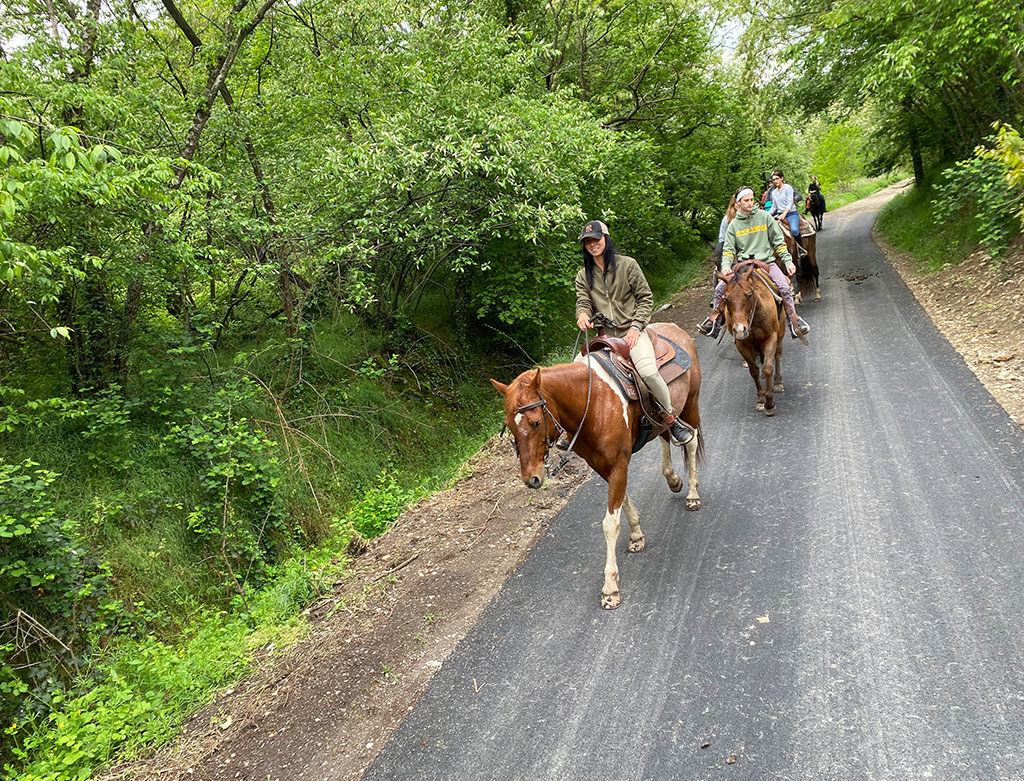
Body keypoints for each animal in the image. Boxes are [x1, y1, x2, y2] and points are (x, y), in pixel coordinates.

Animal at [489, 321, 700, 610]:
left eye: (535, 422)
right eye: (510, 426)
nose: (531, 478)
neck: (593, 403)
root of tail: (674, 328)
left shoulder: (619, 464)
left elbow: (610, 523)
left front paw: (610, 587)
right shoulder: (602, 466)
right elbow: (624, 500)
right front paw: (636, 535)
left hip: (690, 403)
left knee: (691, 440)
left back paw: (693, 494)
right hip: (663, 418)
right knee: (666, 437)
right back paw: (674, 480)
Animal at [720, 262, 782, 417]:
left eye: (749, 295)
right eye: (726, 298)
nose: (740, 330)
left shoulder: (771, 337)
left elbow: (768, 368)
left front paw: (769, 403)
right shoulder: (742, 344)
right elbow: (753, 370)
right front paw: (761, 399)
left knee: (778, 354)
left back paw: (778, 382)